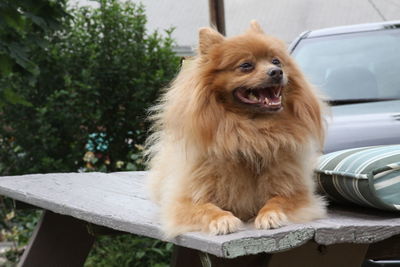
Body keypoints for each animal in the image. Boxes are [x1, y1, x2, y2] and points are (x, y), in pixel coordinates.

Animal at [145, 21, 326, 239]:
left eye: (276, 61)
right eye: (246, 66)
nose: (276, 72)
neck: (251, 133)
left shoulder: (297, 194)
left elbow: (277, 200)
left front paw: (270, 214)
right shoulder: (184, 202)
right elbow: (206, 208)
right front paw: (222, 219)